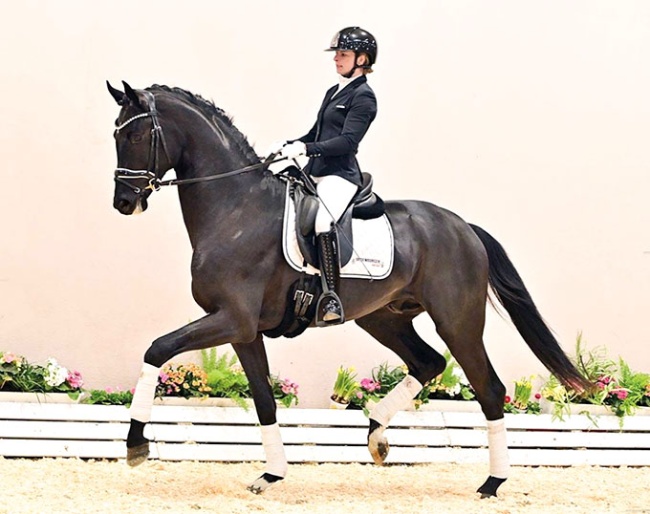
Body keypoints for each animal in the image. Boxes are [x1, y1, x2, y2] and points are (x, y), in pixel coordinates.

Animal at [106, 80, 590, 498]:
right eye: (116, 134)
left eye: (136, 135)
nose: (124, 203)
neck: (236, 209)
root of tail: (462, 227)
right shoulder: (242, 330)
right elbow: (264, 400)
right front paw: (271, 474)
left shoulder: (231, 320)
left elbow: (156, 350)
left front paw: (135, 445)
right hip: (384, 318)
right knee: (428, 362)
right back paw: (377, 436)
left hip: (458, 321)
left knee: (488, 387)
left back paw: (492, 483)